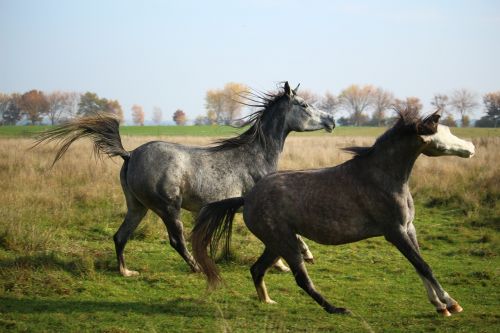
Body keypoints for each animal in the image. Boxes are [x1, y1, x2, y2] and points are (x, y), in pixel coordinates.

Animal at [34, 82, 332, 274]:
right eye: (304, 104)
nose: (331, 120)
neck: (255, 155)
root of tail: (130, 155)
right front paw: (300, 257)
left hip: (137, 207)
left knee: (120, 237)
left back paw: (126, 272)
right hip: (168, 208)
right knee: (176, 240)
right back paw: (197, 268)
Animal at [192, 107, 476, 316]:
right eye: (441, 133)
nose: (471, 148)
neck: (383, 177)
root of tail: (246, 198)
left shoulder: (409, 228)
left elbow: (420, 266)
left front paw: (440, 305)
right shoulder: (394, 232)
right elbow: (423, 265)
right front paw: (451, 304)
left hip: (276, 244)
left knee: (257, 269)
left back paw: (268, 301)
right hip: (285, 243)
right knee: (301, 279)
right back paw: (336, 309)